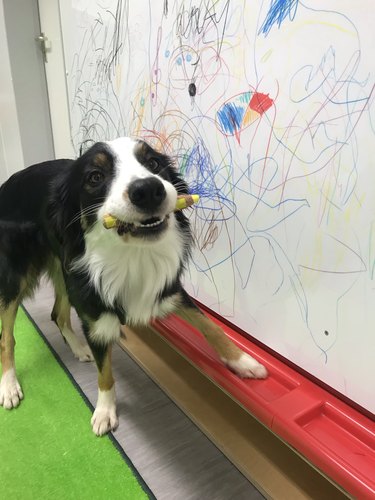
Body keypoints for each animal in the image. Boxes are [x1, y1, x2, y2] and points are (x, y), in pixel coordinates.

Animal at [0, 137, 268, 434]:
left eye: (153, 163)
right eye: (95, 177)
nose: (149, 190)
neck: (132, 256)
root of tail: (8, 182)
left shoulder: (168, 290)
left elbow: (209, 325)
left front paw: (242, 361)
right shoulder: (95, 313)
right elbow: (105, 373)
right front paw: (105, 411)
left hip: (64, 270)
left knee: (57, 313)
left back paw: (79, 349)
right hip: (16, 276)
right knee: (7, 336)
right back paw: (9, 385)